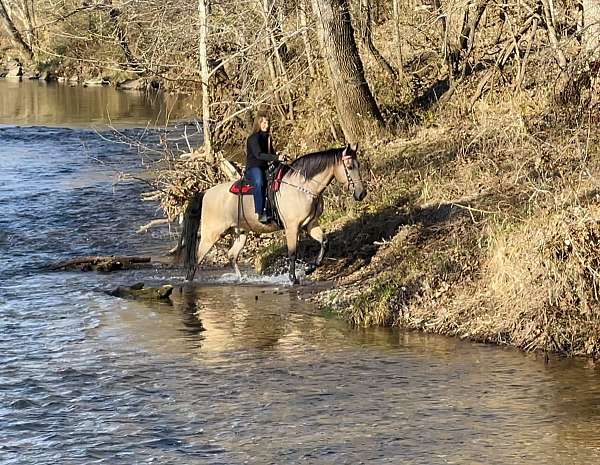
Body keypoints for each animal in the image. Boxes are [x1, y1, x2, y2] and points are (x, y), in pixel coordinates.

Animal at [178, 142, 366, 282]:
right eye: (350, 166)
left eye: (359, 165)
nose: (361, 193)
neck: (302, 187)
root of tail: (205, 193)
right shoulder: (292, 227)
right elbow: (292, 252)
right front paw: (293, 278)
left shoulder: (310, 224)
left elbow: (325, 243)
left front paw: (310, 268)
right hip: (211, 235)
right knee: (195, 262)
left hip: (241, 232)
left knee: (231, 255)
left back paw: (240, 279)